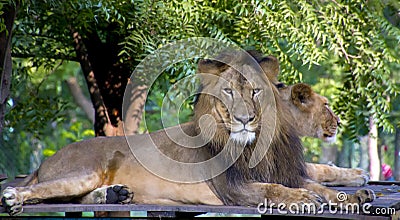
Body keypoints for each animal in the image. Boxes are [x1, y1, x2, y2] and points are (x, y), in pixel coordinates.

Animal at [1, 50, 374, 215]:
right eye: (228, 92)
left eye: (254, 91)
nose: (243, 119)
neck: (259, 145)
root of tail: (44, 162)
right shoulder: (234, 188)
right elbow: (276, 190)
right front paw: (303, 199)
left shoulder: (291, 173)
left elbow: (319, 184)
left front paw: (355, 195)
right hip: (83, 171)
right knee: (42, 191)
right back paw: (14, 197)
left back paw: (114, 195)